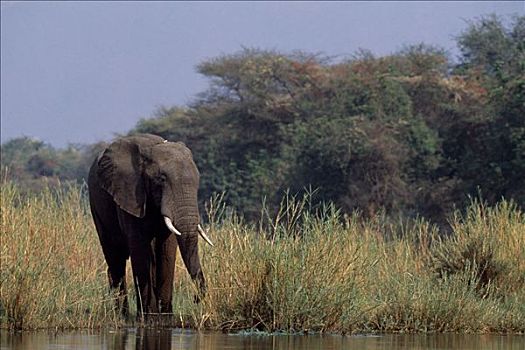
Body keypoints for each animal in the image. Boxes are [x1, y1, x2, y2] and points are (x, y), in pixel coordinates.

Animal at [87, 133, 212, 318]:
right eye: (161, 179)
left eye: (198, 180)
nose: (196, 299)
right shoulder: (130, 194)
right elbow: (139, 247)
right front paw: (149, 318)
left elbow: (167, 248)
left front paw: (165, 317)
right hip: (96, 205)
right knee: (115, 256)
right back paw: (122, 315)